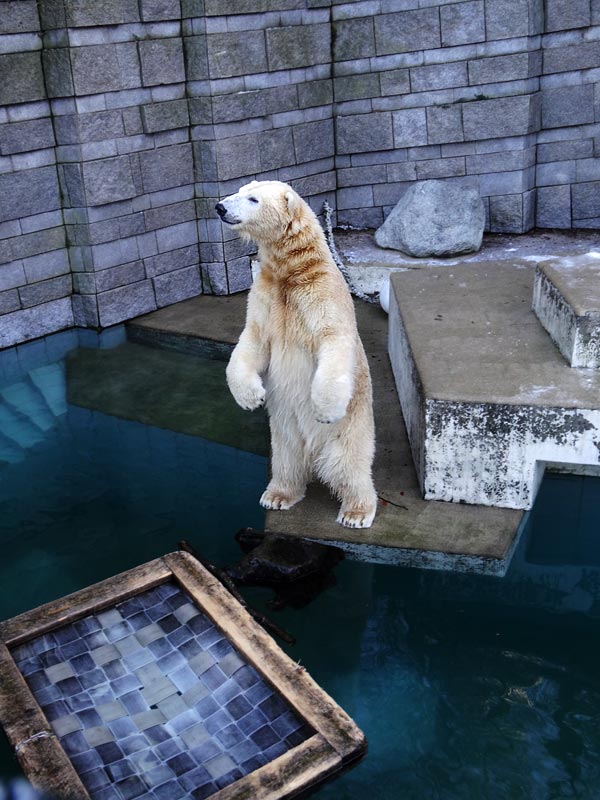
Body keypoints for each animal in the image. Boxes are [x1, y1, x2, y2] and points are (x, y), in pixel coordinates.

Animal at [214, 182, 376, 532]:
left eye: (253, 198)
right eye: (240, 189)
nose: (219, 207)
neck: (292, 272)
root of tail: (314, 458)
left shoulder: (322, 292)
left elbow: (333, 339)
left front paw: (324, 409)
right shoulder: (265, 295)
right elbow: (252, 341)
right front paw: (252, 397)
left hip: (350, 432)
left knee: (349, 466)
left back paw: (356, 512)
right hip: (284, 436)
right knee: (286, 462)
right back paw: (277, 495)